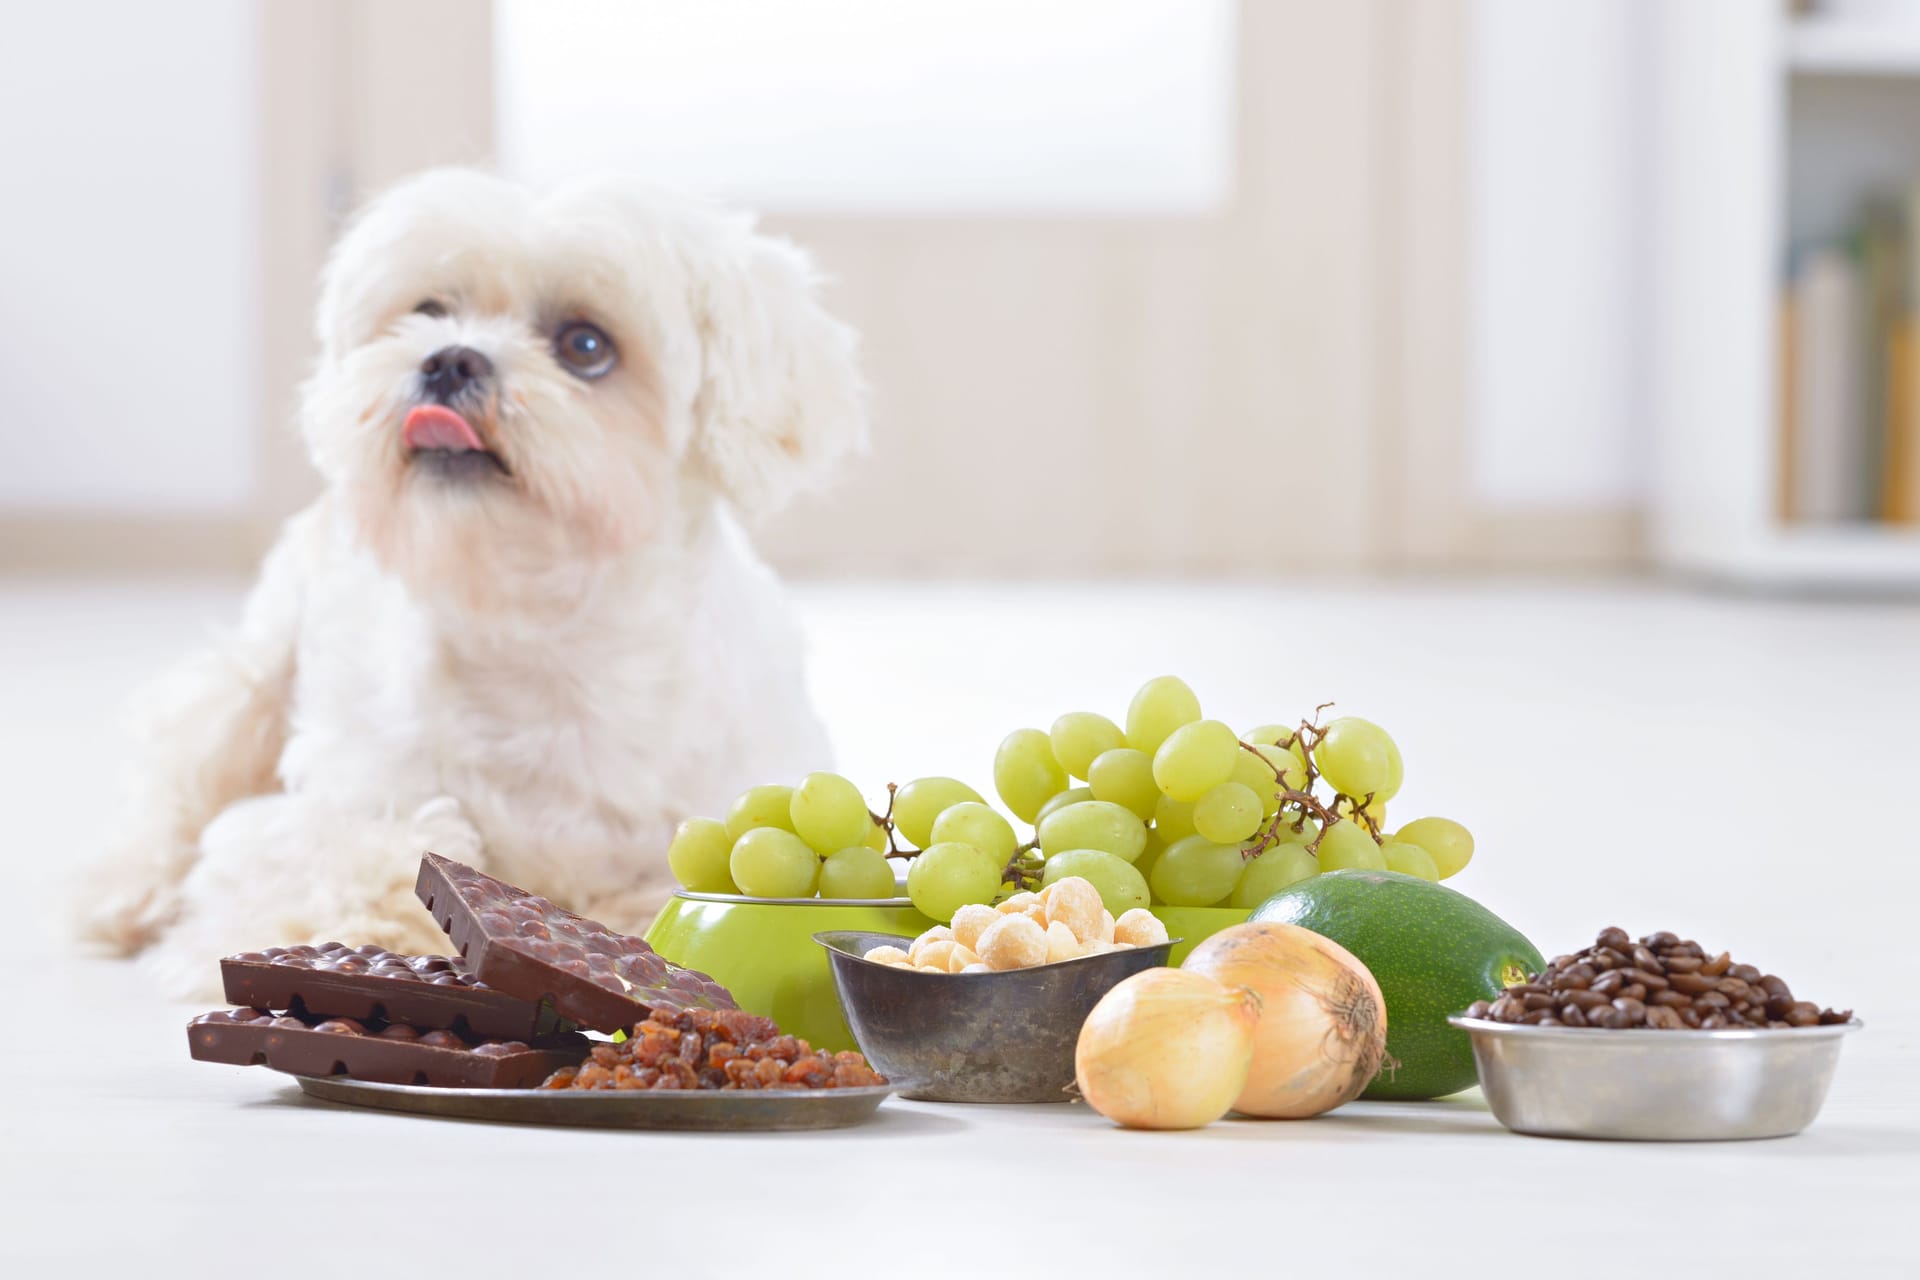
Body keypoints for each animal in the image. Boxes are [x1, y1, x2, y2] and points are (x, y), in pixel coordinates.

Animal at [80, 167, 864, 990]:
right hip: (250, 684)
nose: (450, 358)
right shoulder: (341, 798)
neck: (537, 634)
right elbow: (343, 856)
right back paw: (120, 896)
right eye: (429, 310)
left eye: (586, 345)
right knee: (173, 797)